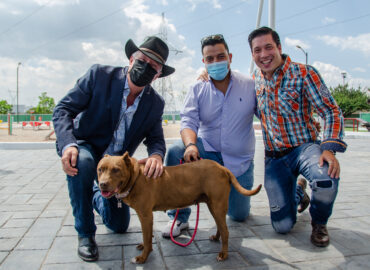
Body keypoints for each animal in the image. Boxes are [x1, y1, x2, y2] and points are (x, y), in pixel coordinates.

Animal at [97, 152, 262, 264]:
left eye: (116, 170)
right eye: (100, 169)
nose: (102, 184)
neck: (135, 176)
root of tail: (222, 167)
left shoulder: (145, 215)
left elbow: (146, 236)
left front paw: (143, 257)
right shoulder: (145, 216)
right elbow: (147, 235)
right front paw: (144, 246)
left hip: (217, 205)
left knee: (226, 231)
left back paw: (224, 254)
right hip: (213, 206)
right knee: (221, 227)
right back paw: (216, 238)